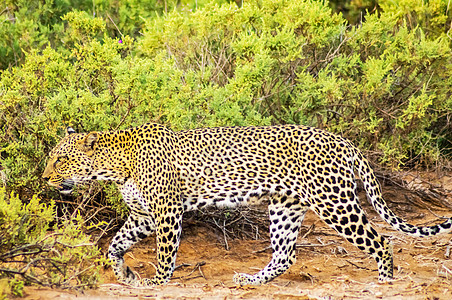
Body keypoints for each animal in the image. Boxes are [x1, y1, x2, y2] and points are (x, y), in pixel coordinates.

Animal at [42, 123, 452, 286]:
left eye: (60, 160)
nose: (44, 179)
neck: (115, 166)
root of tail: (341, 139)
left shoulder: (167, 213)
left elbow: (164, 254)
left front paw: (156, 282)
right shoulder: (142, 215)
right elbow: (115, 245)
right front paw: (125, 274)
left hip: (333, 202)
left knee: (381, 240)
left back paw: (385, 280)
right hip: (285, 206)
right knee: (285, 255)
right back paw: (250, 280)